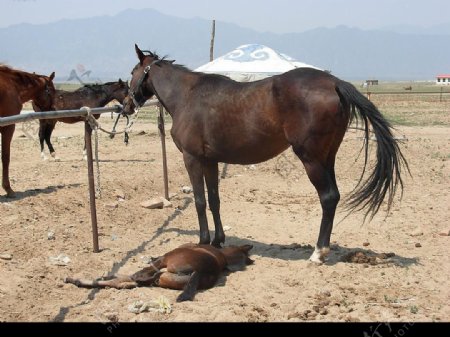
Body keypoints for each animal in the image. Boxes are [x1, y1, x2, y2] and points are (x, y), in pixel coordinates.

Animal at [0, 65, 55, 197]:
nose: (52, 114)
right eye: (52, 91)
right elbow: (5, 157)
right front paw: (8, 188)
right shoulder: (8, 127)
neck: (13, 85)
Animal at [64, 243, 253, 300]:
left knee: (133, 277)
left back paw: (76, 280)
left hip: (165, 262)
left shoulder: (162, 259)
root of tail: (199, 271)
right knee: (129, 280)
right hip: (161, 279)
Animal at [122, 44, 408, 264]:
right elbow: (214, 200)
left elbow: (200, 201)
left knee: (328, 197)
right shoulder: (210, 161)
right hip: (328, 158)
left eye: (132, 72)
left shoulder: (192, 158)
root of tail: (334, 82)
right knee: (334, 196)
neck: (187, 95)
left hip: (311, 159)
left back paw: (318, 253)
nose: (125, 106)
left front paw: (202, 241)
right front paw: (217, 241)